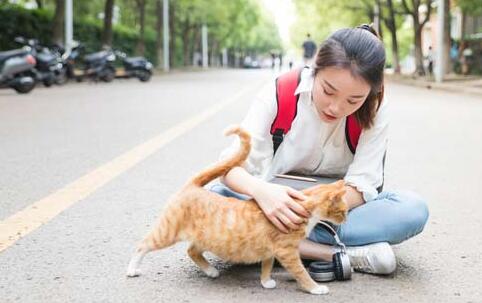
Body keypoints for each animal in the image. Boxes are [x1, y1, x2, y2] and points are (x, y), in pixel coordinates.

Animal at [127, 126, 346, 296]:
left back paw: (211, 271)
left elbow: (267, 265)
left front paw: (265, 282)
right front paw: (315, 288)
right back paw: (132, 269)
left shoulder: (271, 249)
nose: (345, 218)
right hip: (167, 232)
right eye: (343, 211)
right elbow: (301, 272)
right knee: (142, 245)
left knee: (191, 250)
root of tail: (193, 186)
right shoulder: (287, 251)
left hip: (206, 238)